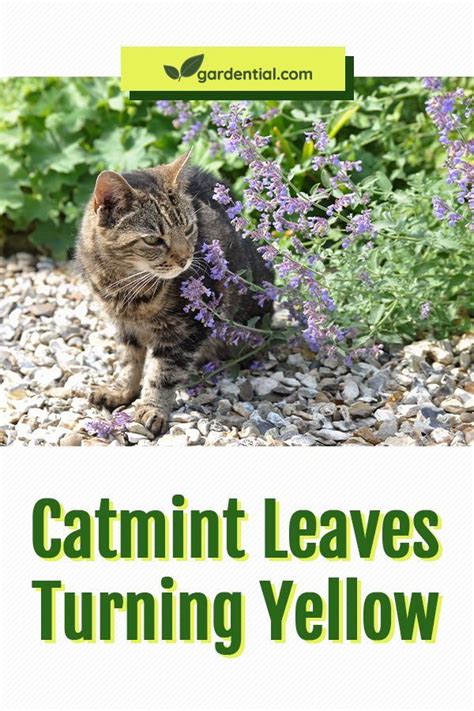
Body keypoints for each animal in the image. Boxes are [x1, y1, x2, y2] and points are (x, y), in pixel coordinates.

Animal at [75, 150, 272, 434]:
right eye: (153, 240)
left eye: (188, 228)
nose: (186, 258)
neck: (126, 287)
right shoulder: (123, 326)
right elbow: (129, 361)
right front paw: (121, 390)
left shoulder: (186, 329)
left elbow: (162, 374)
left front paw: (152, 409)